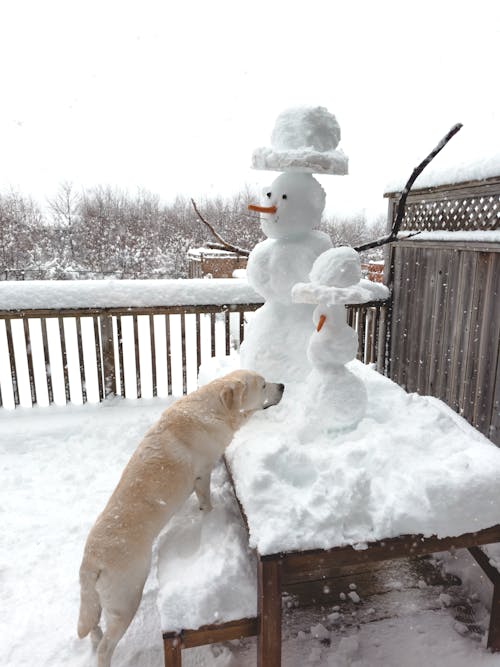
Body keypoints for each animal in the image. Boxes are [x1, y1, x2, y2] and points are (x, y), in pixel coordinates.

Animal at [76, 370, 284, 667]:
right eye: (264, 385)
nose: (283, 386)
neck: (214, 410)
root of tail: (92, 560)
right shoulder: (202, 473)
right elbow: (206, 500)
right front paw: (210, 514)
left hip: (96, 600)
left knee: (92, 623)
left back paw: (94, 639)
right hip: (126, 599)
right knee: (106, 646)